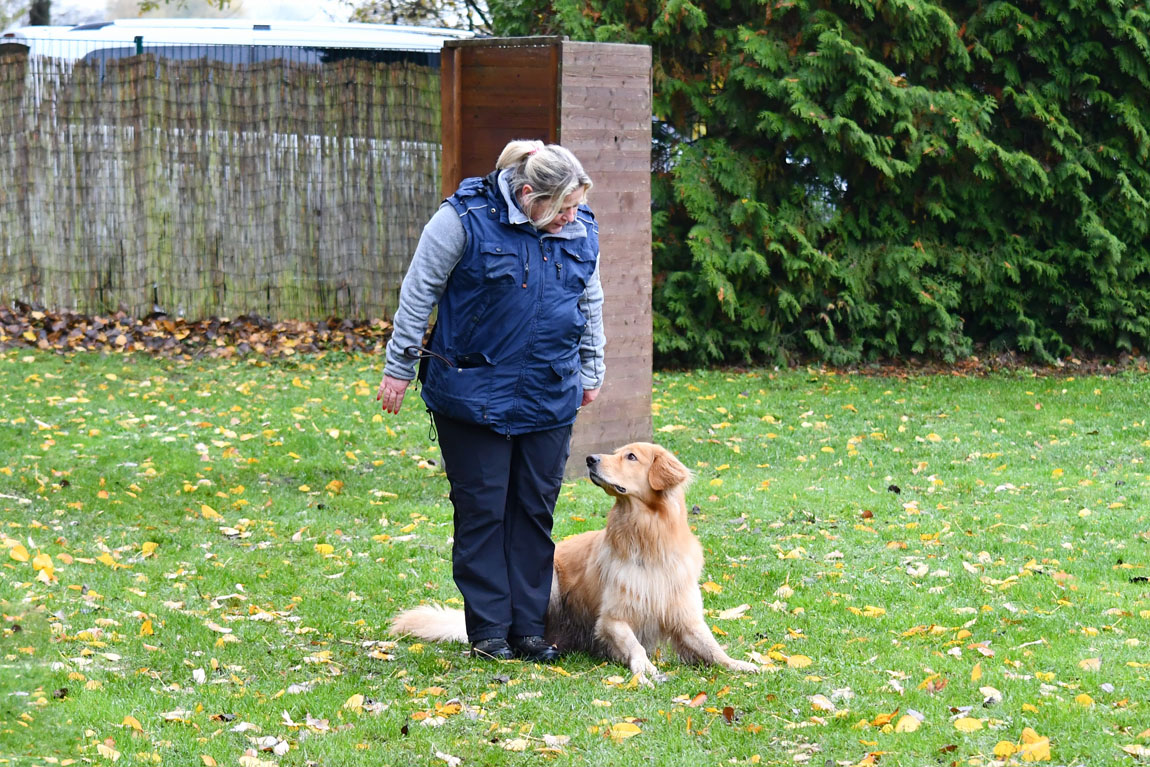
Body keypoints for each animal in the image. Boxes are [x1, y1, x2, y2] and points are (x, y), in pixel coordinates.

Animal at [391, 441, 759, 685]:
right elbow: (634, 644)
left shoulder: (685, 616)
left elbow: (713, 648)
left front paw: (741, 664)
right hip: (550, 581)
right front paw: (644, 667)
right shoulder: (611, 619)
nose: (591, 458)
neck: (648, 539)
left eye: (631, 456)